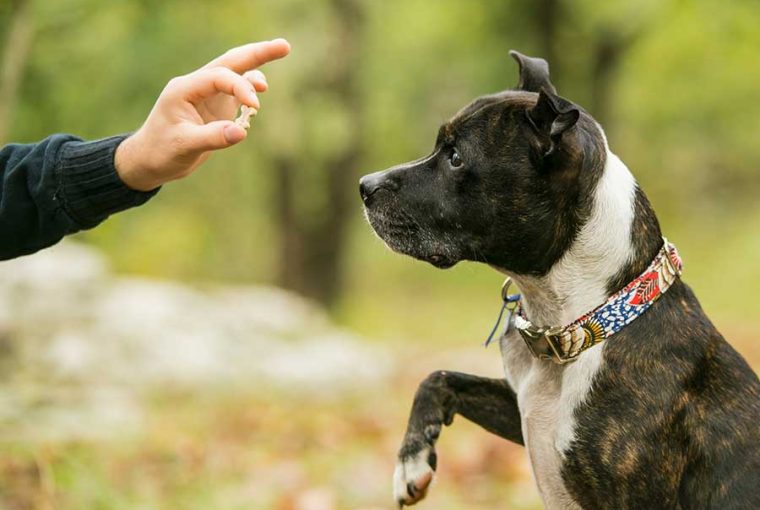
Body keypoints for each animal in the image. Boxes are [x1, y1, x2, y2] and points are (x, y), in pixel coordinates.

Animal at [360, 49, 760, 508]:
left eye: (456, 157)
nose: (364, 186)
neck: (580, 324)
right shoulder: (523, 408)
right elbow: (438, 377)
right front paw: (410, 461)